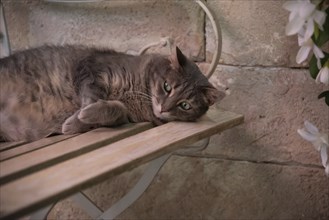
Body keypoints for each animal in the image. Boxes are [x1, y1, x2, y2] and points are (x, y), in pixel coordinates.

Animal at [0, 45, 222, 142]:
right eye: (167, 87)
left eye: (185, 105)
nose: (164, 108)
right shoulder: (91, 70)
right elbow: (91, 97)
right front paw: (78, 118)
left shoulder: (126, 116)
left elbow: (116, 109)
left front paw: (79, 120)